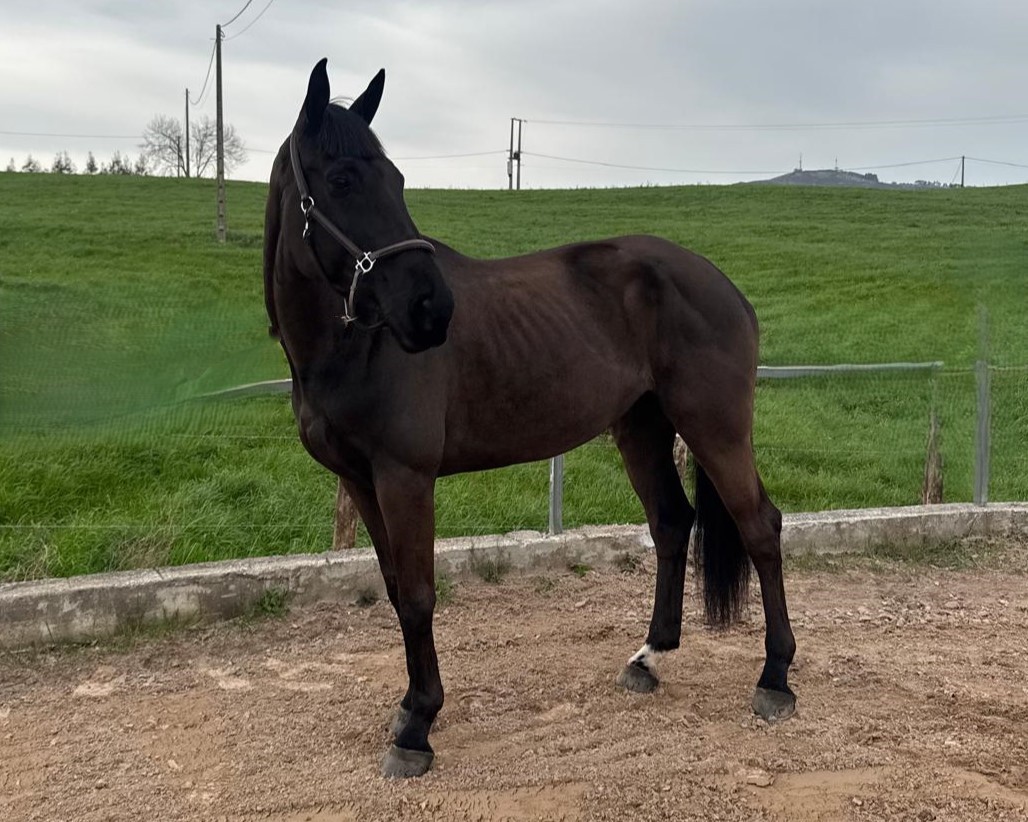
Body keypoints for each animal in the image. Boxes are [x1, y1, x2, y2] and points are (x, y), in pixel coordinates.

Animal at [263, 59, 797, 778]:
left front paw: (418, 727)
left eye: (397, 178)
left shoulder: (405, 478)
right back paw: (649, 658)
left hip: (715, 426)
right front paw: (407, 708)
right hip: (641, 429)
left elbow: (420, 593)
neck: (354, 346)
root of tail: (722, 285)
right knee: (671, 523)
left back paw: (775, 678)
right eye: (342, 179)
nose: (432, 309)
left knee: (759, 526)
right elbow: (396, 588)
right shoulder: (359, 480)